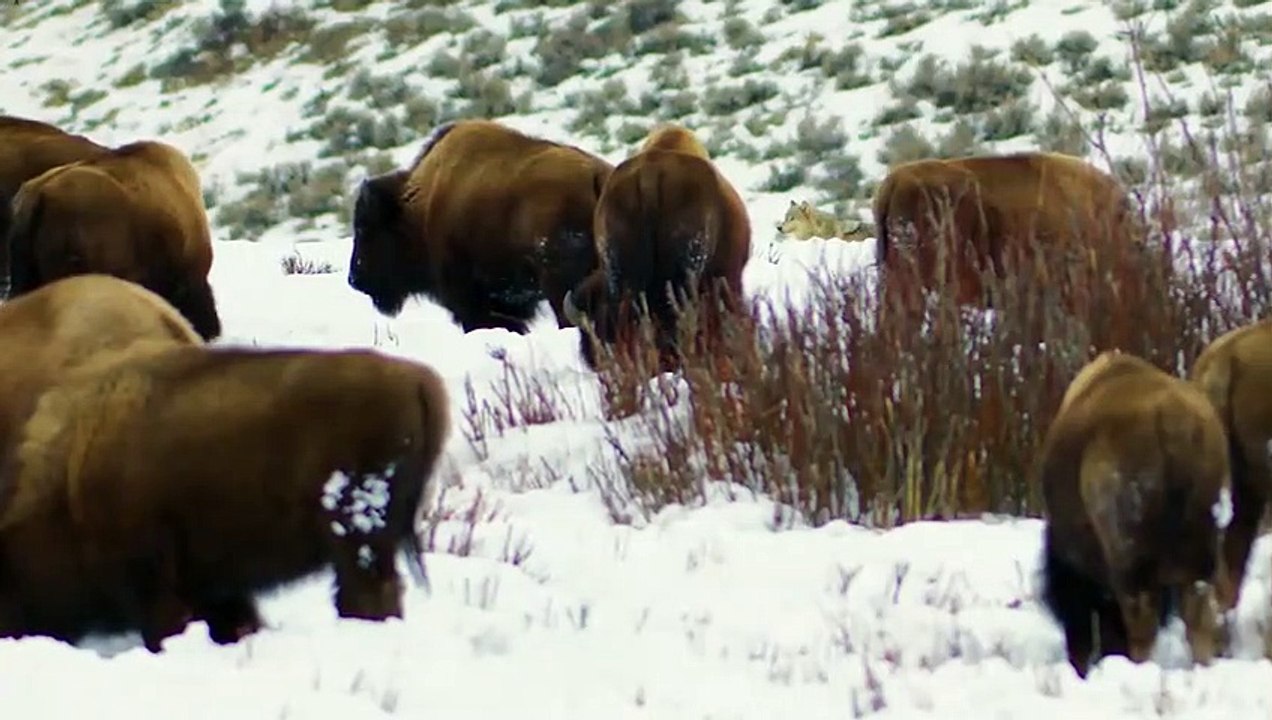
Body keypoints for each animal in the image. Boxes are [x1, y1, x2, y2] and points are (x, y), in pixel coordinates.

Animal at [347, 118, 614, 334]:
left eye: (363, 228)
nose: (354, 279)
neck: (419, 205)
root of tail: (597, 177)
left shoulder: (469, 297)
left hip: (559, 285)